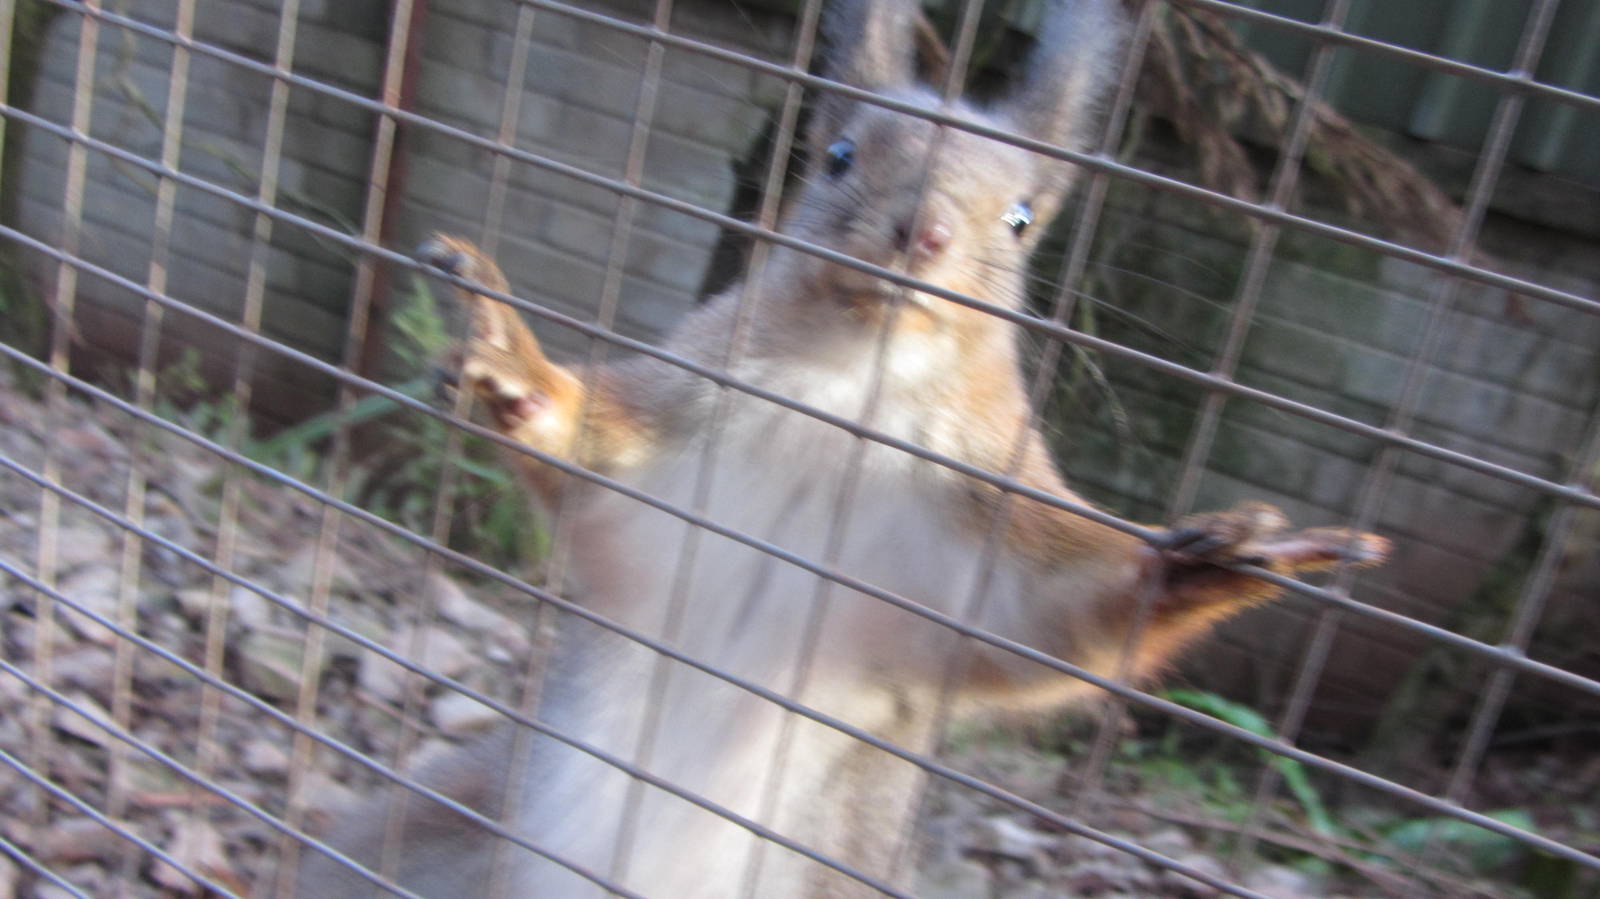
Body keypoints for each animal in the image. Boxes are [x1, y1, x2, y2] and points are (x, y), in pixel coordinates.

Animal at [293, 1, 1388, 896]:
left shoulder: (981, 536)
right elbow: (593, 445)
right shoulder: (678, 428)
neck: (852, 384)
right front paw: (511, 362)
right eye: (837, 158)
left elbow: (1061, 619)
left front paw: (1224, 557)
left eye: (1021, 220)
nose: (922, 235)